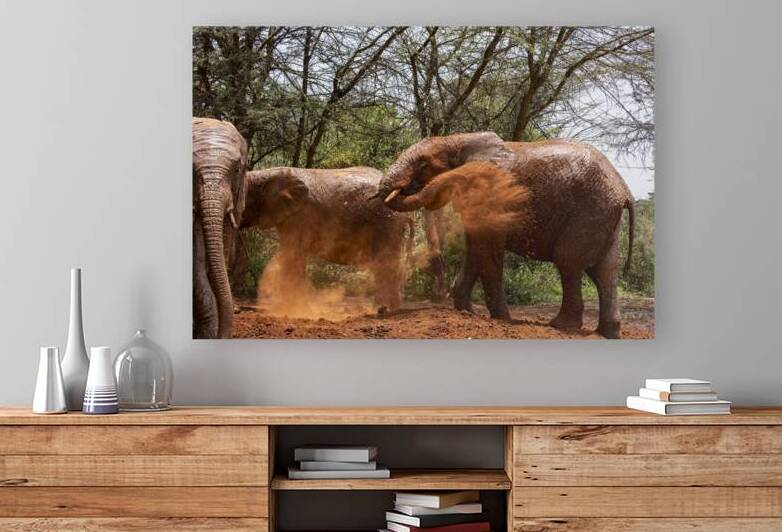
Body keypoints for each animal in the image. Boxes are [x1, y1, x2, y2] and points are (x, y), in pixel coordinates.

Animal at [241, 166, 413, 313]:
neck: (270, 174)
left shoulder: (300, 218)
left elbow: (293, 254)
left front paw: (293, 309)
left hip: (386, 224)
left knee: (385, 263)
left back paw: (384, 309)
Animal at [378, 132, 635, 338]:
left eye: (423, 164)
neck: (457, 139)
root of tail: (624, 191)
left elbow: (488, 252)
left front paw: (502, 318)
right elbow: (475, 250)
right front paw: (466, 311)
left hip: (589, 211)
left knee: (569, 262)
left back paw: (561, 326)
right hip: (604, 217)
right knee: (605, 271)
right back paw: (608, 333)